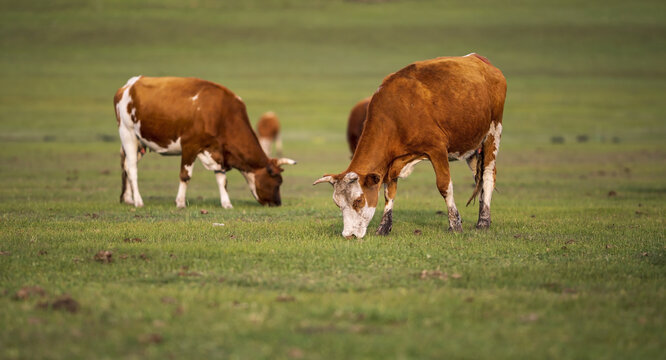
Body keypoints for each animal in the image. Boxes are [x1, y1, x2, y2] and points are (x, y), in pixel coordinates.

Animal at [114, 77, 296, 210]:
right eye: (278, 181)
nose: (278, 203)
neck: (222, 114)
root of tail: (129, 85)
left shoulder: (218, 152)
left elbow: (222, 180)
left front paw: (227, 204)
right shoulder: (190, 145)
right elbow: (185, 175)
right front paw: (180, 203)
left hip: (140, 141)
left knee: (125, 165)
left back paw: (128, 198)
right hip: (127, 133)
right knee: (132, 168)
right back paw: (138, 201)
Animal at [314, 53, 506, 239]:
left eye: (358, 201)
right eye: (337, 204)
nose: (348, 235)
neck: (397, 114)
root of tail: (480, 60)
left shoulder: (437, 149)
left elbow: (444, 186)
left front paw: (455, 225)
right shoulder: (392, 162)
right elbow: (389, 192)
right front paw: (384, 227)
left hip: (493, 132)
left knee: (488, 175)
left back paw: (483, 222)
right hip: (471, 147)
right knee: (478, 178)